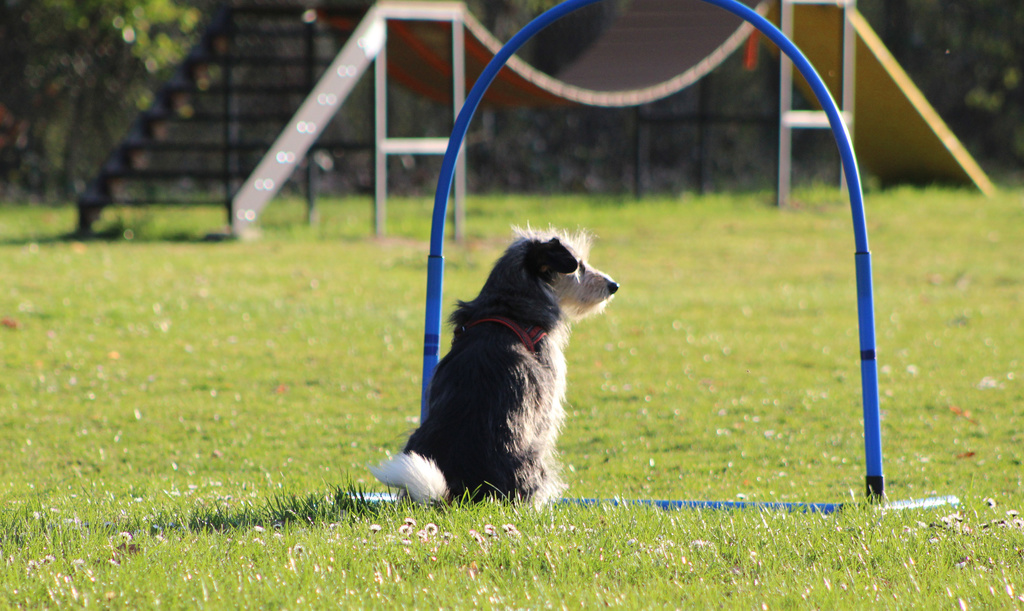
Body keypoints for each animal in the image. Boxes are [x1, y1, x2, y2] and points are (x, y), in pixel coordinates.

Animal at [370, 226, 618, 506]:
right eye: (580, 266)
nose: (613, 286)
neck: (509, 307)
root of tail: (459, 493)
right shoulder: (546, 407)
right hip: (533, 459)